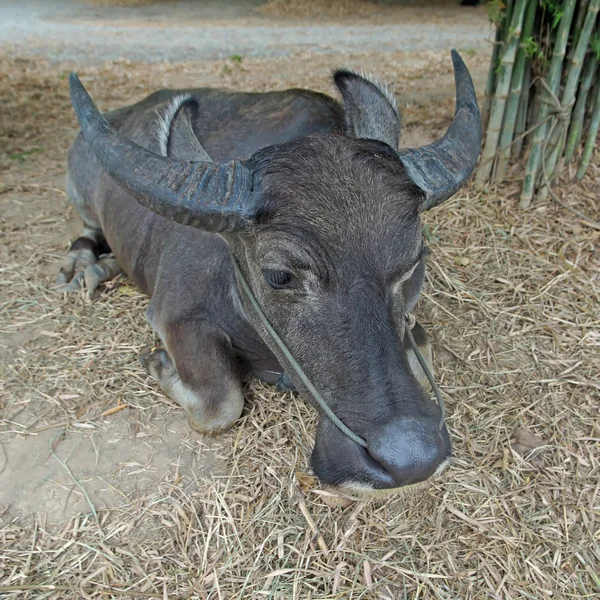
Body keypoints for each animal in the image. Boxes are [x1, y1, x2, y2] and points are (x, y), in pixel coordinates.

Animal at [59, 51, 482, 492]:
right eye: (279, 275)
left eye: (414, 260)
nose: (411, 455)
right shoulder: (175, 315)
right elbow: (220, 405)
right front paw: (159, 363)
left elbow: (424, 352)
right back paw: (86, 266)